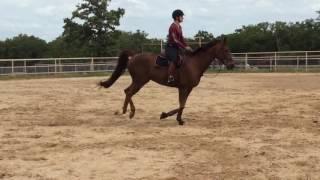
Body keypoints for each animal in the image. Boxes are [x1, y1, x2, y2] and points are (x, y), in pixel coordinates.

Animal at [99, 38, 235, 125]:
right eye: (226, 50)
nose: (232, 65)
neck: (194, 63)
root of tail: (134, 56)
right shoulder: (183, 88)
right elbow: (181, 104)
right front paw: (168, 116)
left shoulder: (188, 88)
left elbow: (183, 104)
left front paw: (176, 118)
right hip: (140, 81)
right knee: (129, 92)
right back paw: (126, 112)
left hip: (139, 81)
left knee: (127, 91)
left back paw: (128, 111)